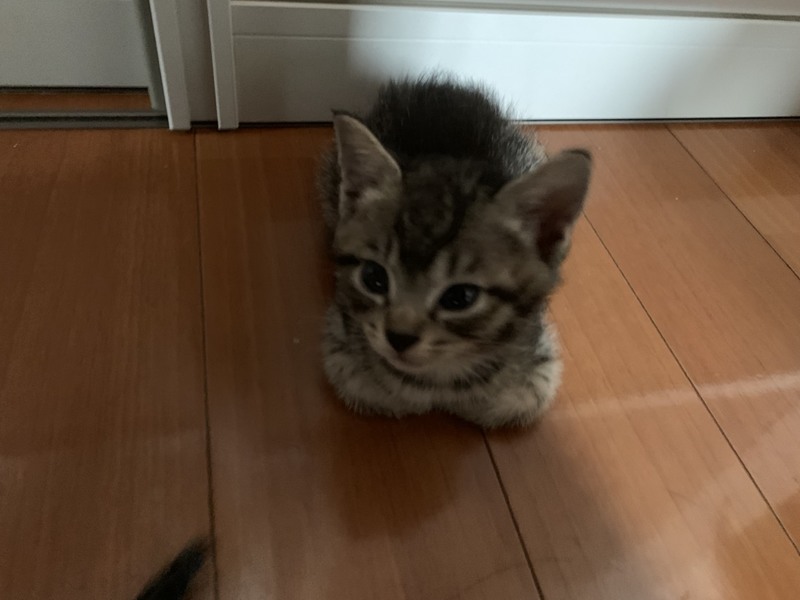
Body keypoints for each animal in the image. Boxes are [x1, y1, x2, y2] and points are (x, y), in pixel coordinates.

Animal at [320, 75, 592, 429]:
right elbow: (376, 391)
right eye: (373, 277)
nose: (398, 338)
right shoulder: (342, 350)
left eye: (460, 298)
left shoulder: (540, 366)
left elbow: (512, 402)